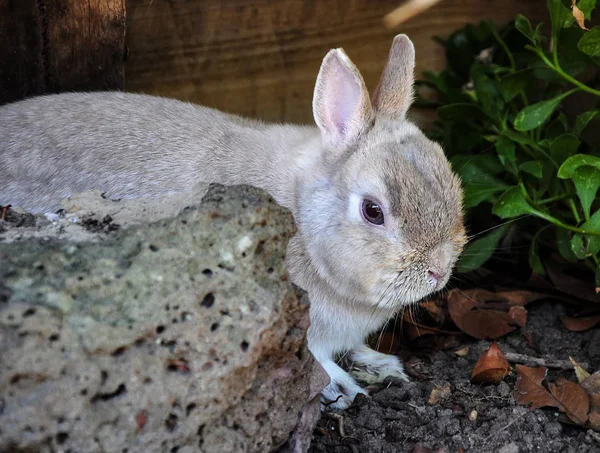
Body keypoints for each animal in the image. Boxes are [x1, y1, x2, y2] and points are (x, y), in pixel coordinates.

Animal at [0, 35, 466, 410]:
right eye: (373, 211)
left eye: (452, 179)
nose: (438, 271)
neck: (300, 212)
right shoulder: (301, 327)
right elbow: (317, 357)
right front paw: (344, 388)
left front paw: (382, 364)